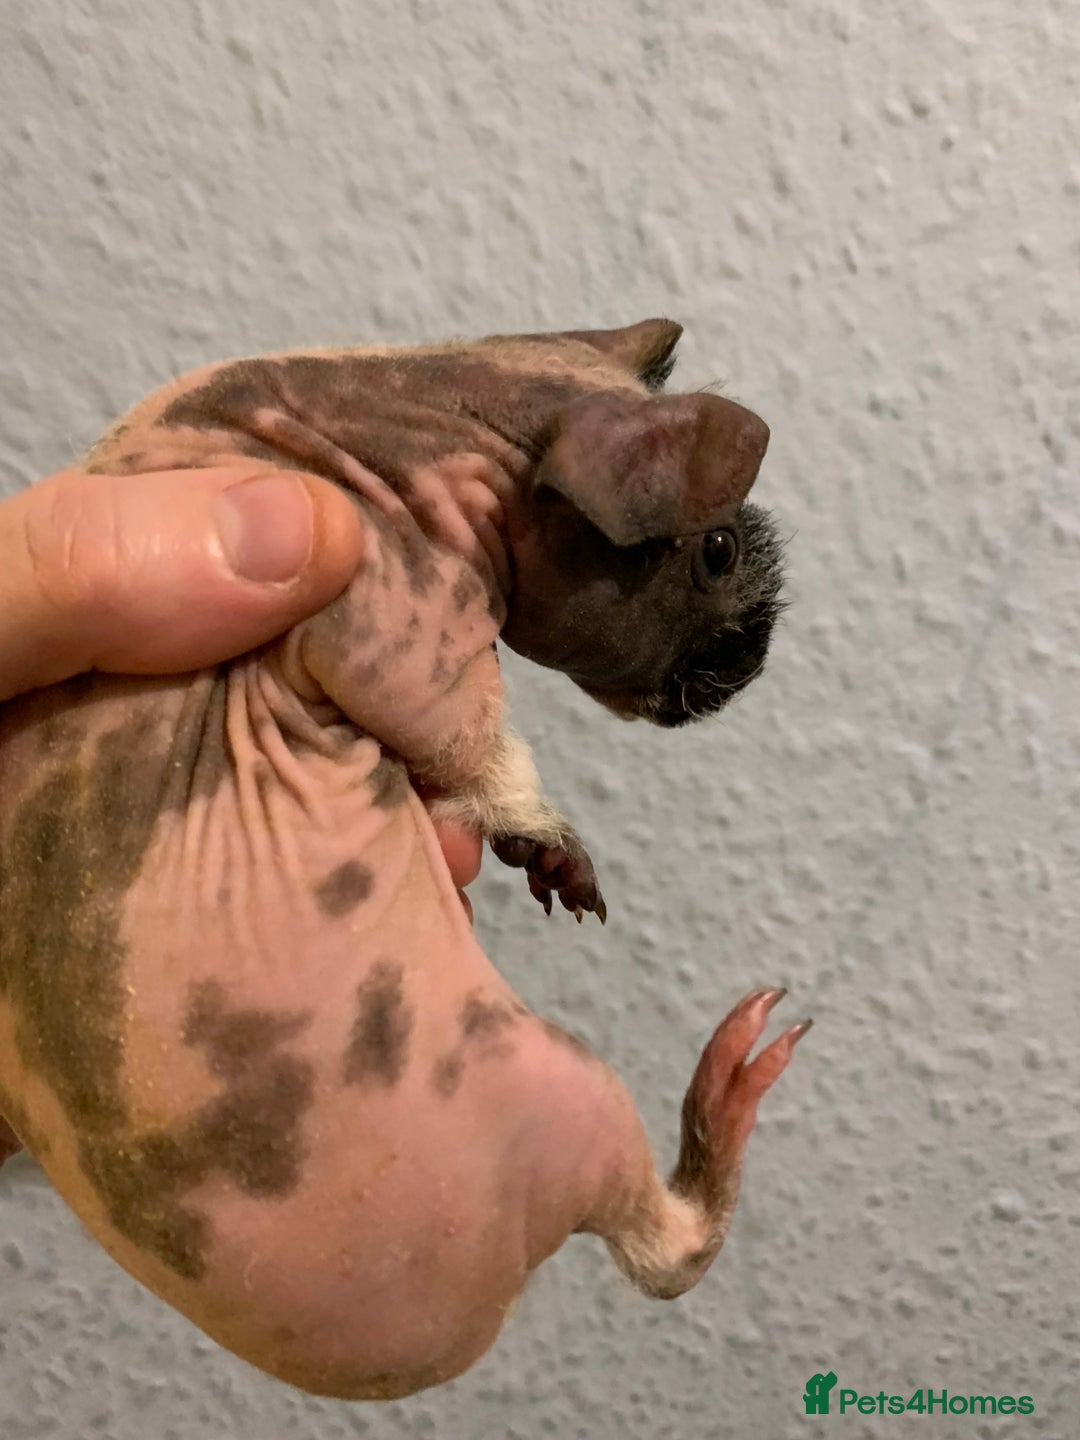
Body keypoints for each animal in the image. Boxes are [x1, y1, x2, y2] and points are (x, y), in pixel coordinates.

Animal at [0, 319, 810, 1400]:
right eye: (716, 550)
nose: (754, 660)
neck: (437, 403)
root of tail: (480, 1307)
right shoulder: (397, 624)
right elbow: (468, 738)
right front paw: (558, 851)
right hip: (581, 1099)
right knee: (672, 1253)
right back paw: (740, 1064)